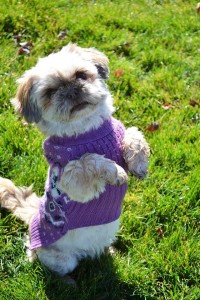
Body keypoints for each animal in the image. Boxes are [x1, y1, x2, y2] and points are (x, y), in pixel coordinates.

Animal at [0, 43, 150, 278]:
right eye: (50, 92)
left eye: (81, 75)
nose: (71, 90)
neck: (87, 131)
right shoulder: (71, 181)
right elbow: (88, 160)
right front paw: (116, 172)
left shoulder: (120, 131)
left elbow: (133, 133)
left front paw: (139, 164)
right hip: (61, 260)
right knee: (45, 262)